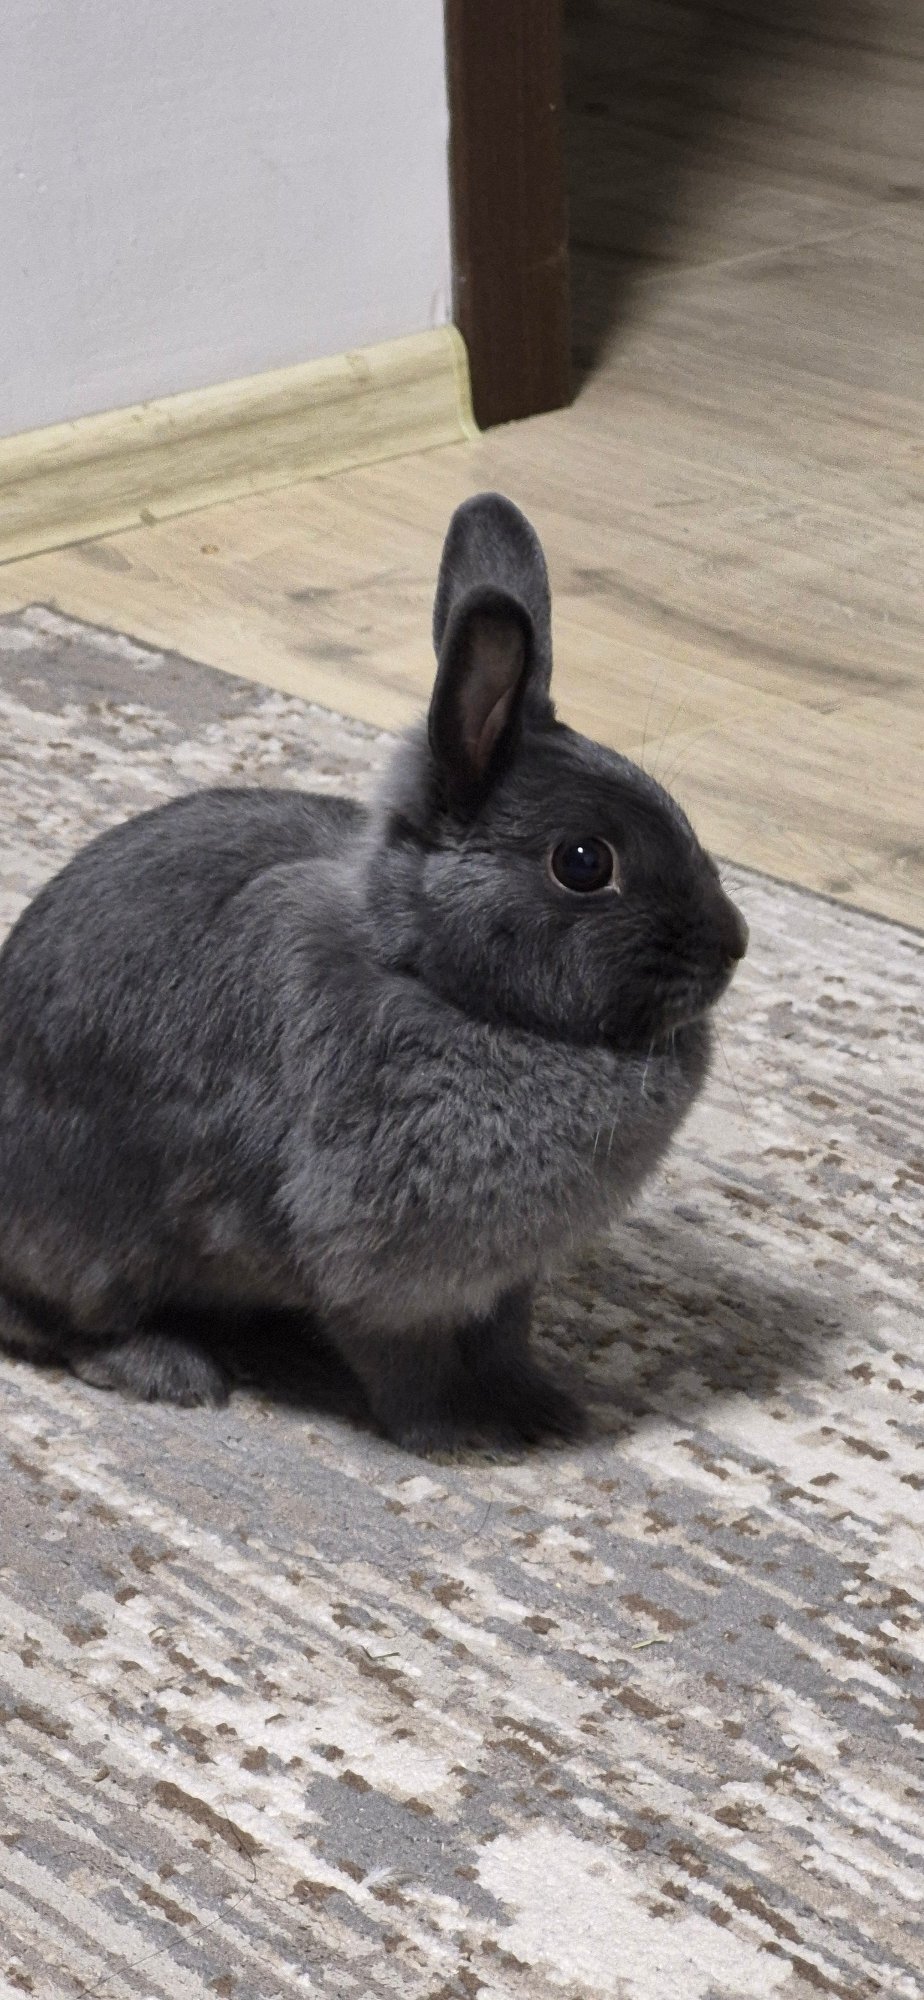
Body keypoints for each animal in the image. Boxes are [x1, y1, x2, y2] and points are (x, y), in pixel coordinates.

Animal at [0, 492, 747, 1454]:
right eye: (584, 862)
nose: (734, 943)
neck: (435, 980)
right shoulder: (378, 1268)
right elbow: (404, 1364)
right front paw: (454, 1438)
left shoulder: (505, 1278)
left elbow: (506, 1340)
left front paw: (541, 1409)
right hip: (93, 1241)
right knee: (56, 1321)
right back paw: (173, 1370)